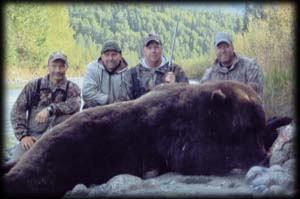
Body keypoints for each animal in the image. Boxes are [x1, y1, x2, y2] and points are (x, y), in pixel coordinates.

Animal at [1, 80, 288, 197]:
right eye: (243, 130)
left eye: (255, 128)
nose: (264, 156)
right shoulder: (176, 133)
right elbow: (199, 158)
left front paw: (278, 122)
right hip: (59, 159)